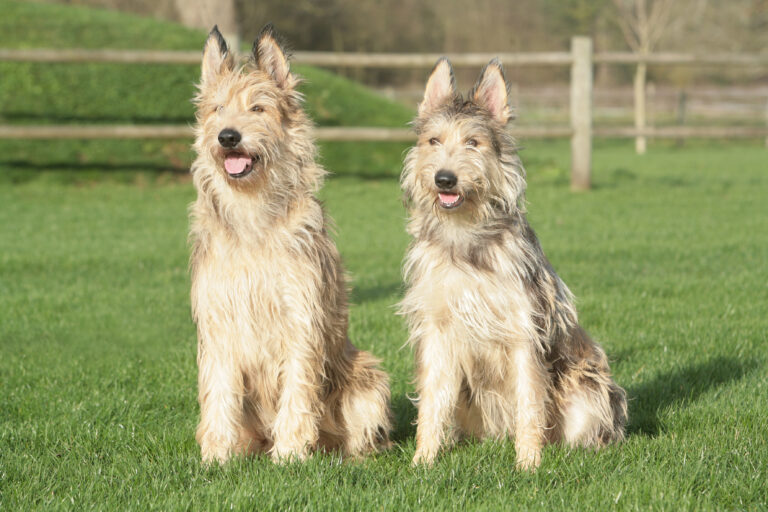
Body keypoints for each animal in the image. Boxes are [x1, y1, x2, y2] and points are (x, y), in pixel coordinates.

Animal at [186, 24, 390, 464]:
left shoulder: (300, 315)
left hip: (368, 380)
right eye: (217, 109)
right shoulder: (218, 319)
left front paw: (291, 453)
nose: (228, 137)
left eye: (258, 108)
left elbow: (298, 387)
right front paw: (216, 455)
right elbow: (219, 392)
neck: (252, 210)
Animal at [400, 58, 628, 470]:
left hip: (588, 393)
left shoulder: (524, 330)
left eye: (472, 142)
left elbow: (529, 401)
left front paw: (528, 464)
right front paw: (423, 460)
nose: (445, 179)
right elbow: (432, 401)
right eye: (434, 141)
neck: (467, 233)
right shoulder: (438, 330)